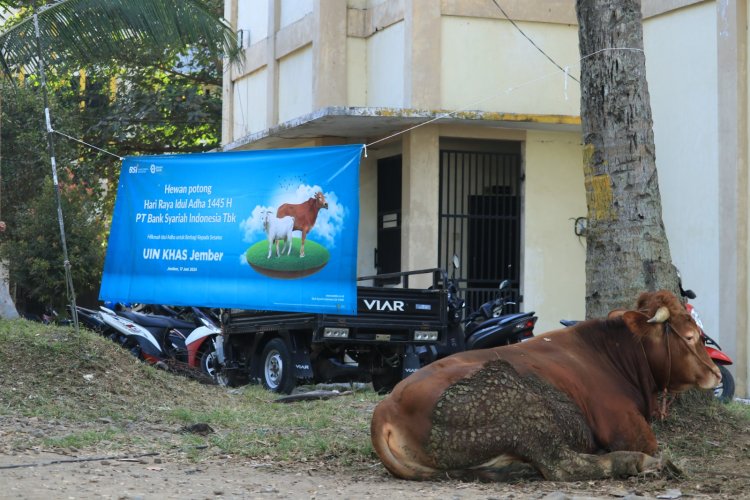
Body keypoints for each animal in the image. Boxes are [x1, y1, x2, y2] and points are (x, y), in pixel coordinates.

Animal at [374, 292, 724, 482]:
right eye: (690, 336)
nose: (717, 374)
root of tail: (386, 407)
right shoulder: (627, 427)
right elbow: (651, 444)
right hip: (527, 411)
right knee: (561, 465)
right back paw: (641, 463)